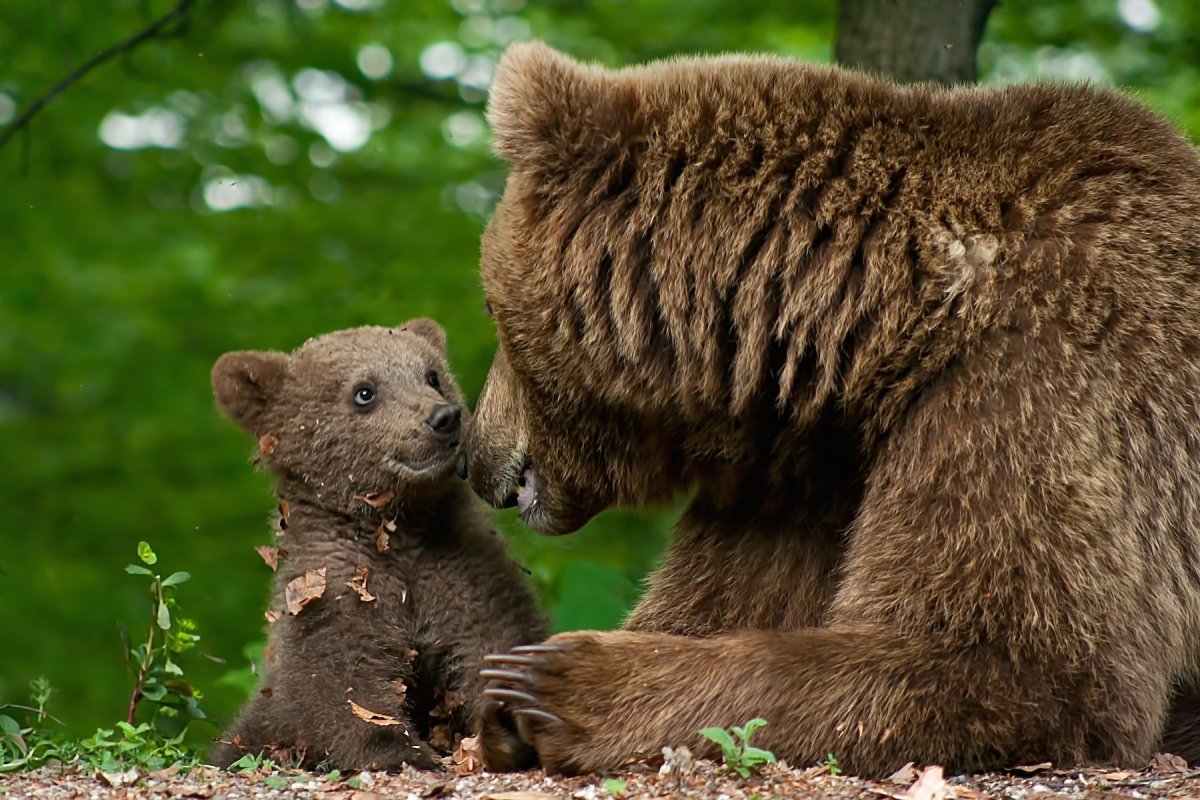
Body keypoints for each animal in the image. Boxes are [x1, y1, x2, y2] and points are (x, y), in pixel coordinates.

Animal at [463, 42, 1200, 777]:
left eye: (491, 313)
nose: (476, 456)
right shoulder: (806, 474)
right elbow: (720, 598)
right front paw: (504, 704)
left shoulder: (1039, 383)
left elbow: (1022, 661)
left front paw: (552, 684)